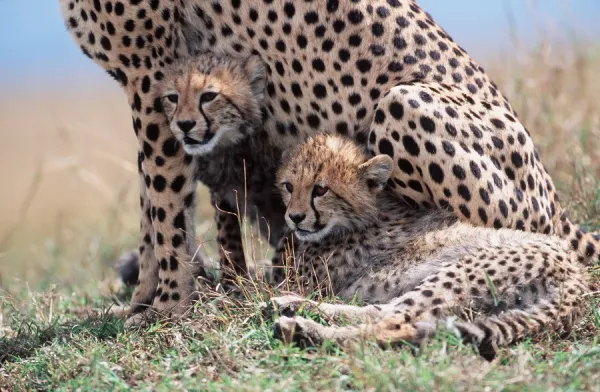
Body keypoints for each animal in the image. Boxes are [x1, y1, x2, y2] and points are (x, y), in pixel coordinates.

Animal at [58, 0, 596, 322]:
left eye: (209, 96)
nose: (190, 123)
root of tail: (556, 202)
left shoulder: (149, 75)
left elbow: (165, 205)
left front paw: (167, 307)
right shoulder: (158, 90)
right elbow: (153, 208)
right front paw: (144, 299)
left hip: (406, 102)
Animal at [268, 136, 592, 360]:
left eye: (320, 189)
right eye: (288, 186)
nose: (295, 217)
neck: (366, 212)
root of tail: (576, 276)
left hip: (459, 272)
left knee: (394, 321)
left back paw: (301, 330)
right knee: (383, 312)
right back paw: (292, 307)